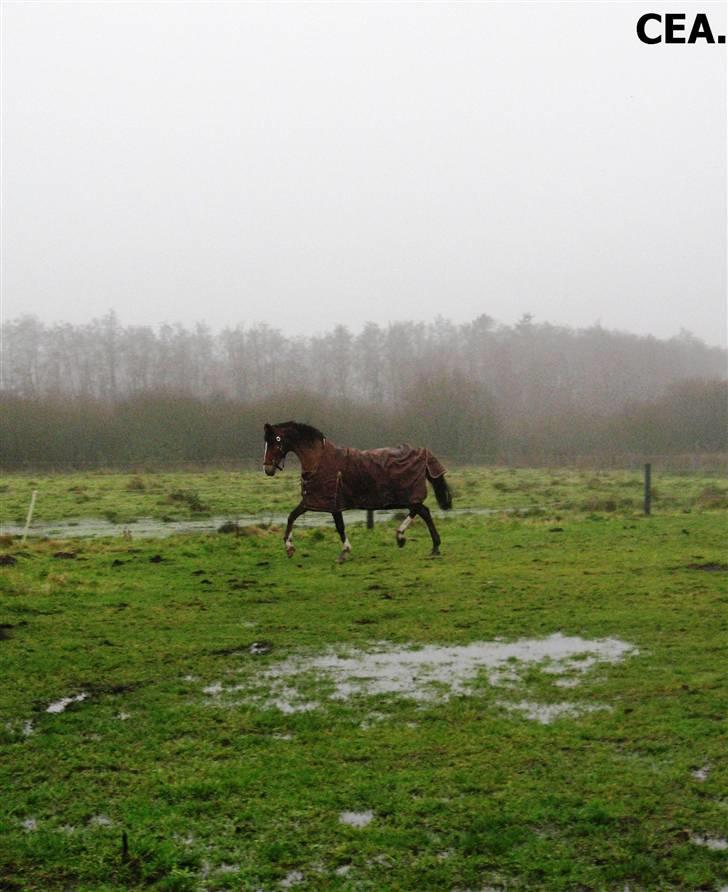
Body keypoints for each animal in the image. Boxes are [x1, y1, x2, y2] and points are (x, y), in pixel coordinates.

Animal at [264, 422, 452, 560]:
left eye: (275, 441)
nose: (267, 469)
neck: (318, 461)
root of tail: (423, 451)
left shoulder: (332, 502)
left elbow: (339, 526)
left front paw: (345, 551)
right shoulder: (313, 501)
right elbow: (291, 516)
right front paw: (289, 548)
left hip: (407, 494)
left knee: (418, 510)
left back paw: (401, 537)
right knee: (424, 511)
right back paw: (434, 547)